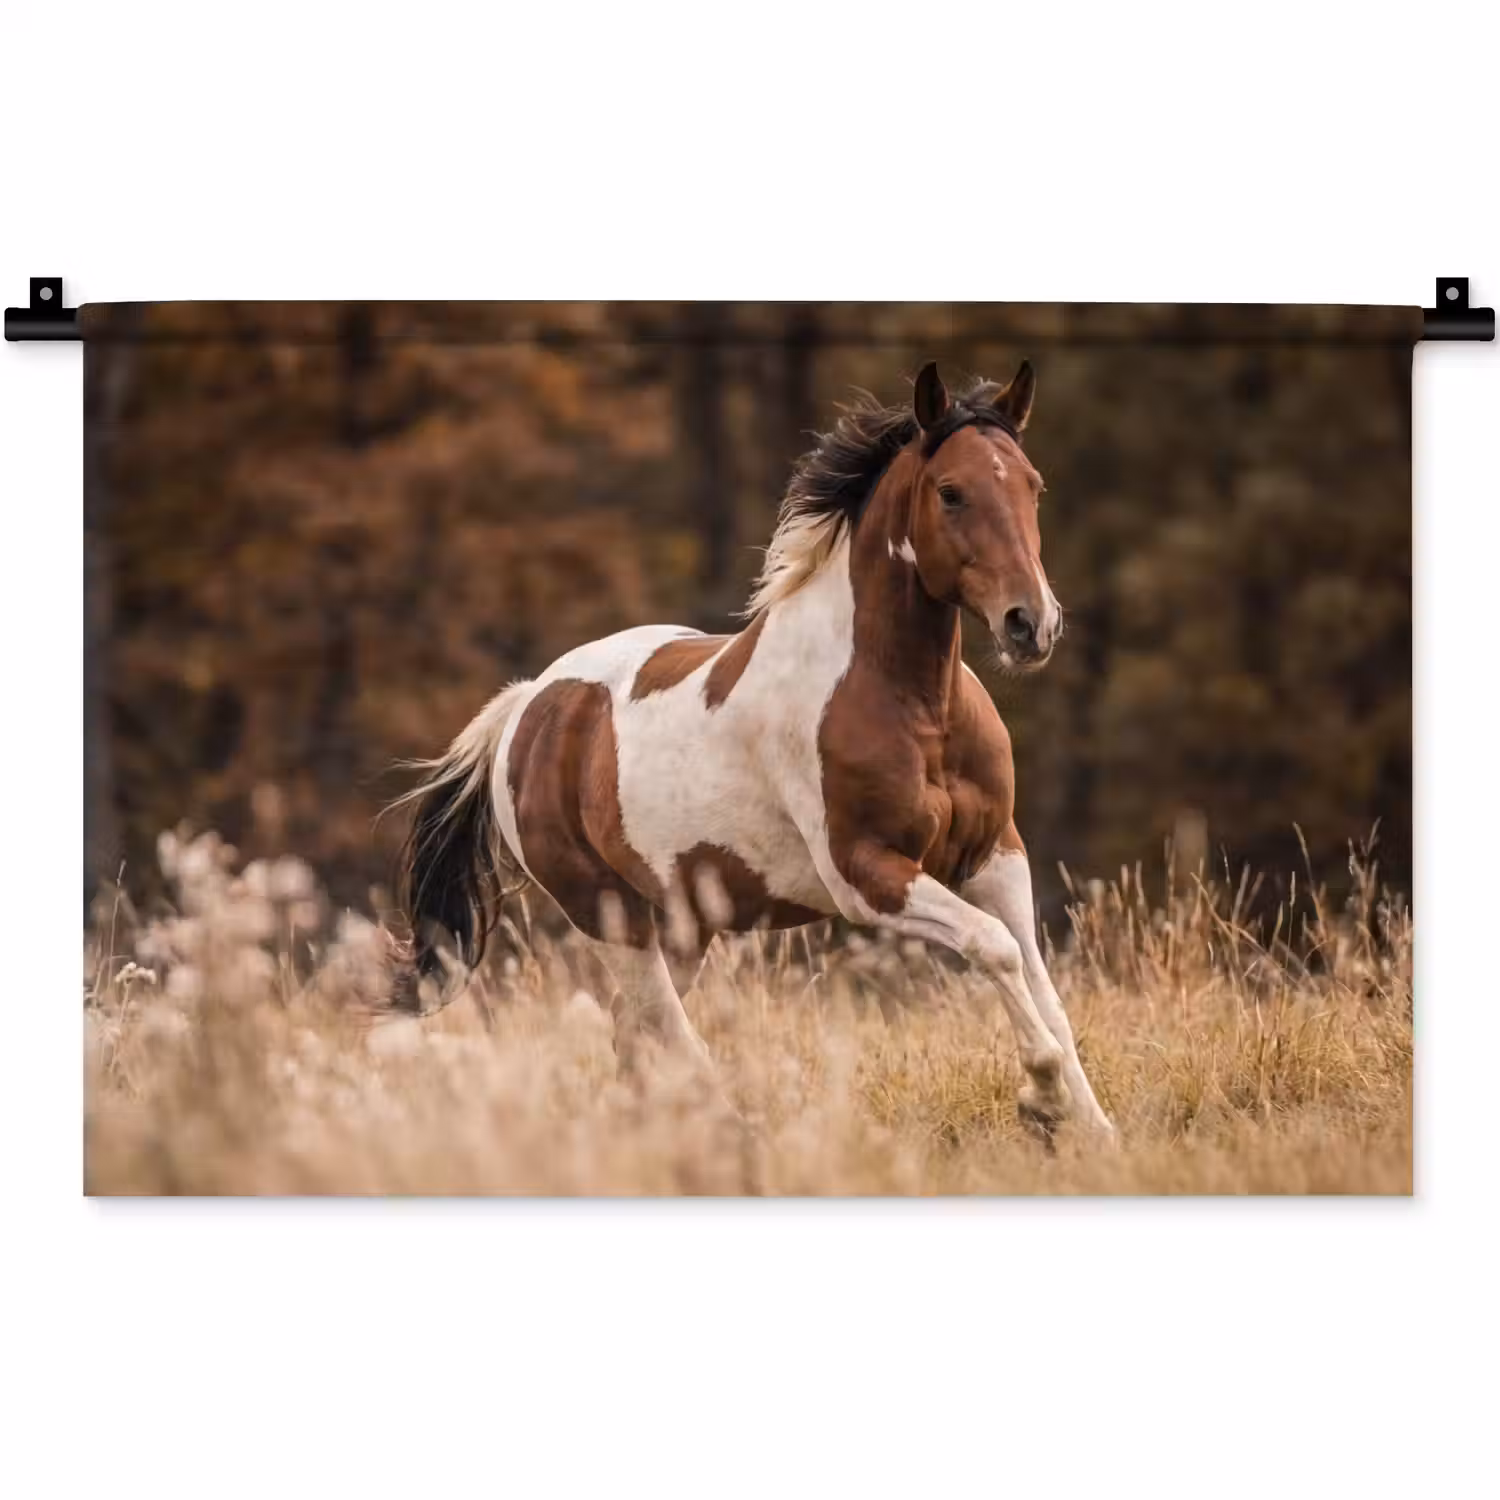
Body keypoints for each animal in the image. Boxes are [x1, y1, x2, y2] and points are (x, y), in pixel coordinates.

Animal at [394, 360, 1115, 1139]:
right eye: (951, 491)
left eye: (1032, 485)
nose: (1030, 624)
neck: (916, 706)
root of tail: (527, 705)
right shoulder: (866, 876)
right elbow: (994, 948)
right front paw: (1041, 1097)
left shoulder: (995, 856)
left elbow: (1041, 985)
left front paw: (1095, 1130)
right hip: (609, 914)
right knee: (665, 1035)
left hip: (683, 923)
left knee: (634, 1037)